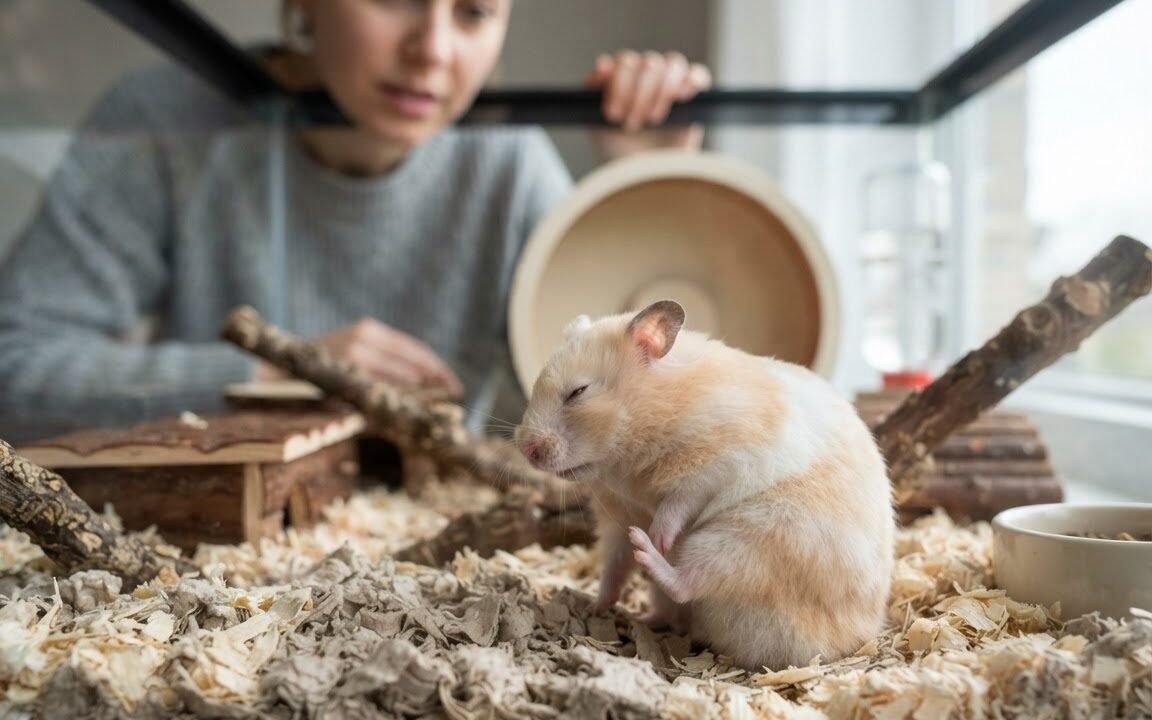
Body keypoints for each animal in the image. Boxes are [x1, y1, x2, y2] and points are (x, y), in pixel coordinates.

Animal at [514, 299, 894, 671]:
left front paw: (659, 535)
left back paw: (648, 548)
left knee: (688, 583)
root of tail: (845, 642)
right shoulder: (618, 518)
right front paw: (597, 605)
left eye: (578, 392)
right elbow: (614, 566)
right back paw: (643, 614)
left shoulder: (723, 463)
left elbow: (681, 500)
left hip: (749, 541)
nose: (526, 450)